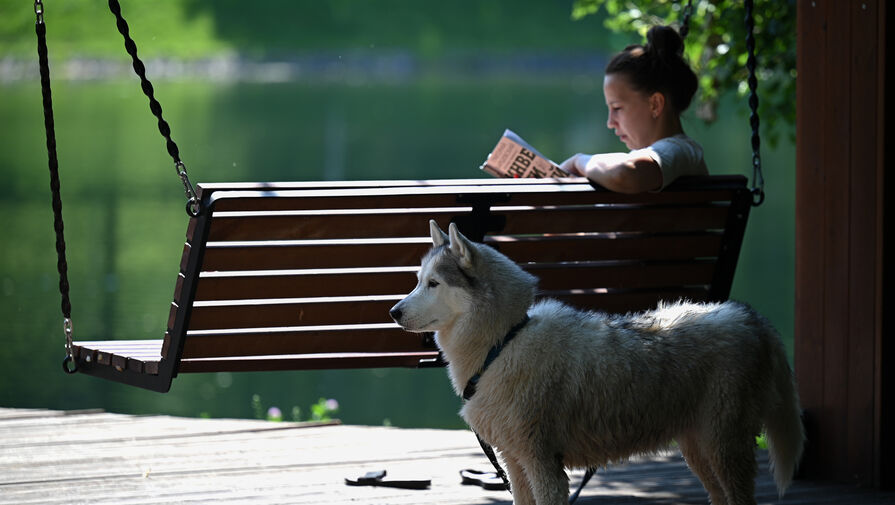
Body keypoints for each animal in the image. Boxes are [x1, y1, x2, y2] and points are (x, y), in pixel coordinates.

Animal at [390, 220, 804, 504]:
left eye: (433, 284)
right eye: (418, 281)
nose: (393, 312)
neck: (505, 341)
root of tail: (750, 316)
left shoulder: (545, 467)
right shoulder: (516, 463)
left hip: (722, 448)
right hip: (698, 449)